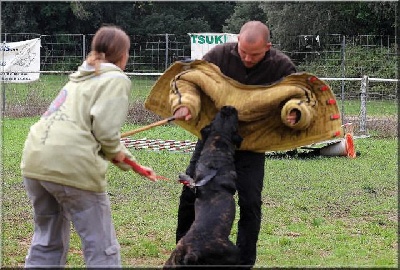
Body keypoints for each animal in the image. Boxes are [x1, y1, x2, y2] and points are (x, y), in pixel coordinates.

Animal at [163, 105, 244, 268]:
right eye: (234, 120)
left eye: (218, 115)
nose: (228, 107)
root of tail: (190, 251)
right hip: (233, 253)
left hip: (173, 258)